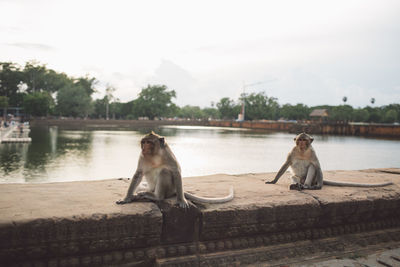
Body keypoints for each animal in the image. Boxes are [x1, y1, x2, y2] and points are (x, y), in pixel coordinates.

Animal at [264, 132, 392, 191]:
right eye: (299, 140)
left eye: (304, 140)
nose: (301, 143)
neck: (302, 151)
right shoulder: (292, 151)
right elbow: (286, 165)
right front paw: (273, 181)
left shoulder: (312, 153)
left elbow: (317, 167)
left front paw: (319, 186)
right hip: (299, 177)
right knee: (294, 176)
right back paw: (296, 185)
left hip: (312, 179)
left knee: (312, 168)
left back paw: (306, 186)